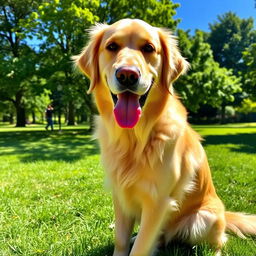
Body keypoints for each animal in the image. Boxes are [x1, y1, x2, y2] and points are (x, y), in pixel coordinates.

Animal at [72, 19, 256, 255]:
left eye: (149, 48)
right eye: (112, 46)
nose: (127, 75)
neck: (134, 138)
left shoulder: (158, 202)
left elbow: (140, 248)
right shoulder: (120, 194)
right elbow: (121, 240)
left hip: (202, 220)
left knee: (218, 242)